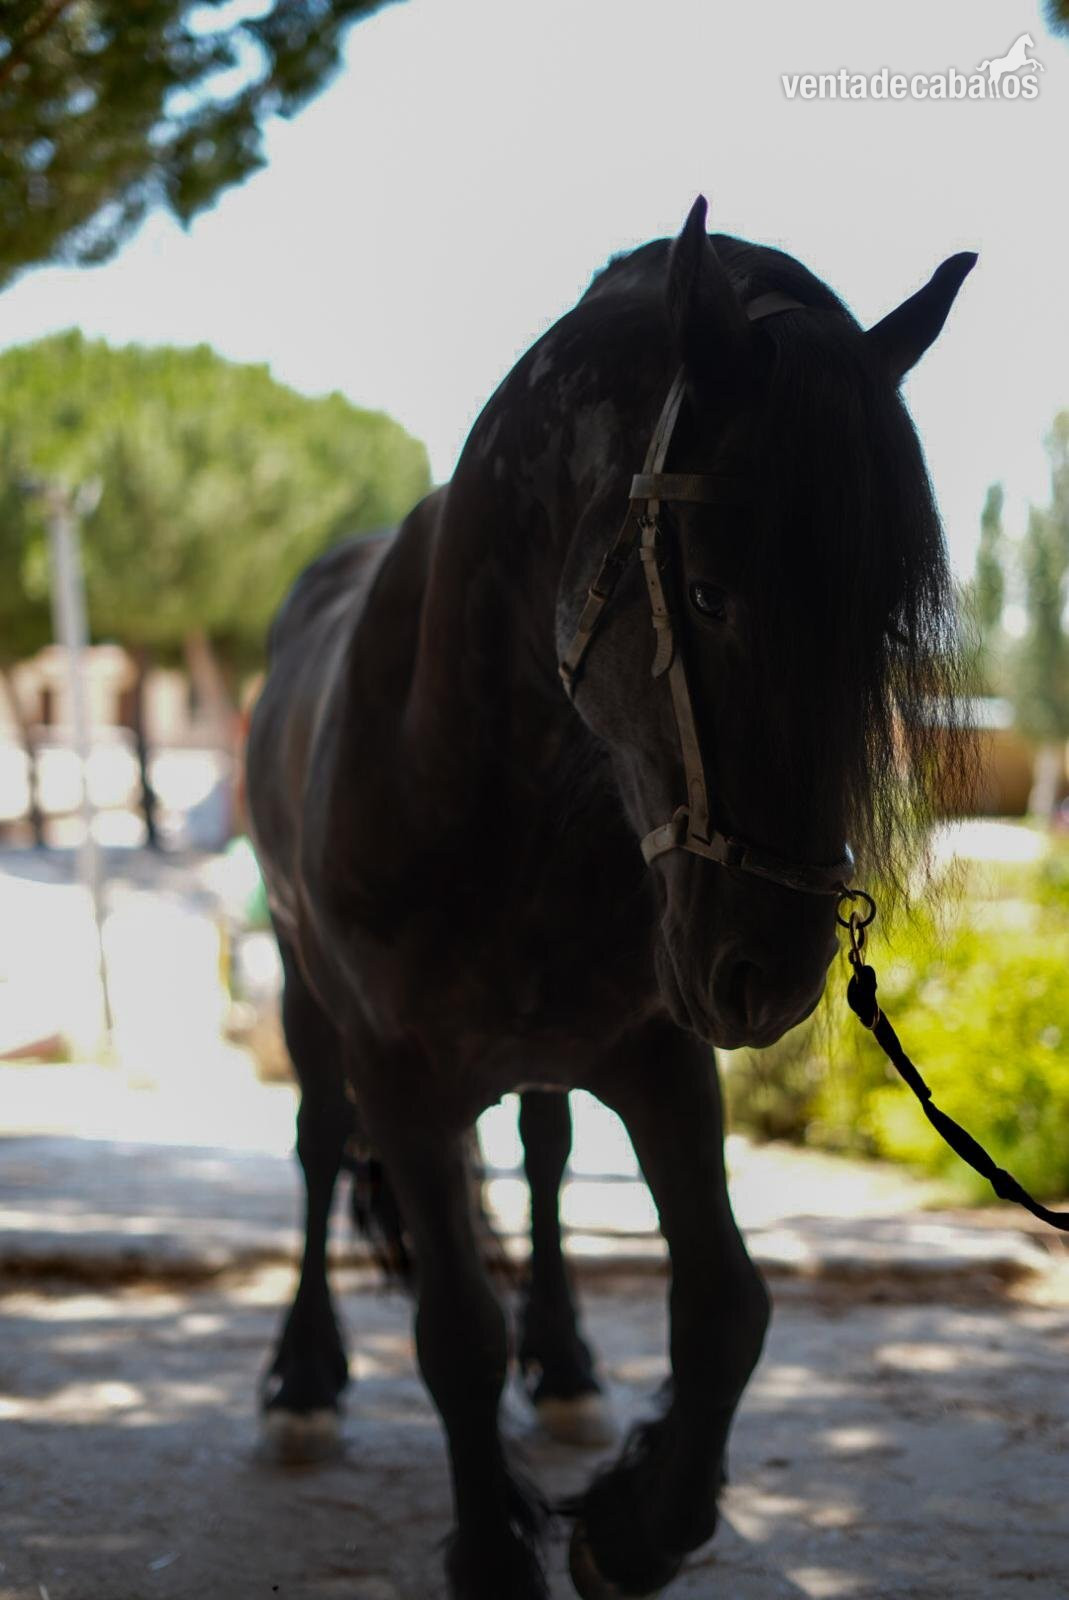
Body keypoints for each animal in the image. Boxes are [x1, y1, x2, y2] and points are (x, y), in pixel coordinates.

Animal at [245, 196, 973, 1599]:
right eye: (706, 592)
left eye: (880, 623)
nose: (772, 973)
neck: (478, 780)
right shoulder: (402, 1072)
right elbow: (454, 1332)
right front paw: (495, 1548)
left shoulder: (660, 1054)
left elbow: (727, 1303)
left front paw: (635, 1524)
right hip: (308, 1001)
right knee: (315, 1150)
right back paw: (304, 1382)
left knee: (539, 1157)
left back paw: (571, 1362)